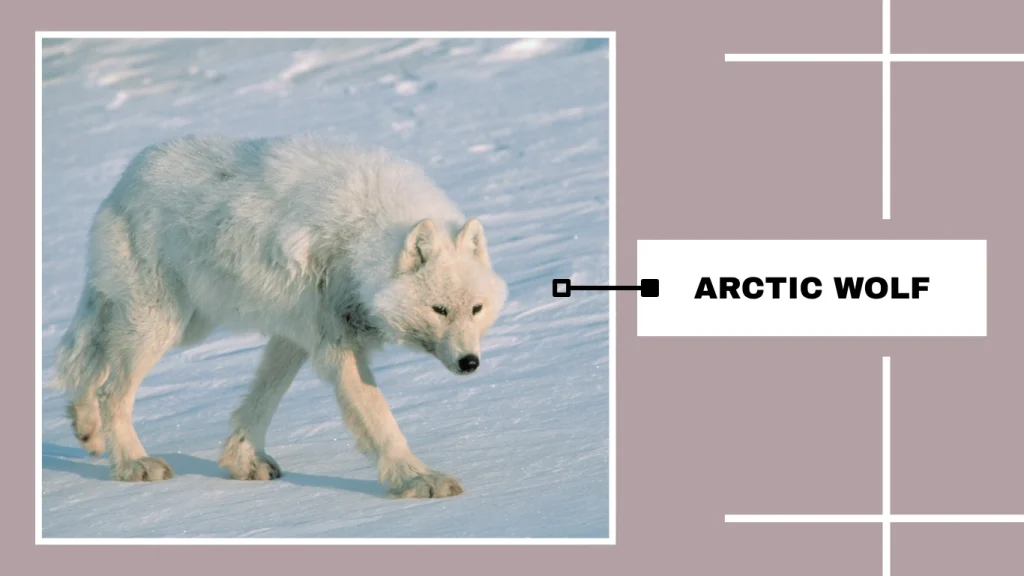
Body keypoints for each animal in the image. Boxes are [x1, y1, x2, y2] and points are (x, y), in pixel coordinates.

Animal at [49, 135, 508, 498]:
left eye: (476, 309)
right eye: (439, 310)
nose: (470, 363)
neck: (363, 237)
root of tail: (126, 180)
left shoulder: (298, 335)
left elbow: (263, 399)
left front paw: (243, 461)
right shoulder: (335, 343)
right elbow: (380, 420)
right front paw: (418, 479)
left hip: (183, 325)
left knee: (89, 361)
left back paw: (87, 429)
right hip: (162, 326)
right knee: (111, 389)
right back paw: (133, 464)